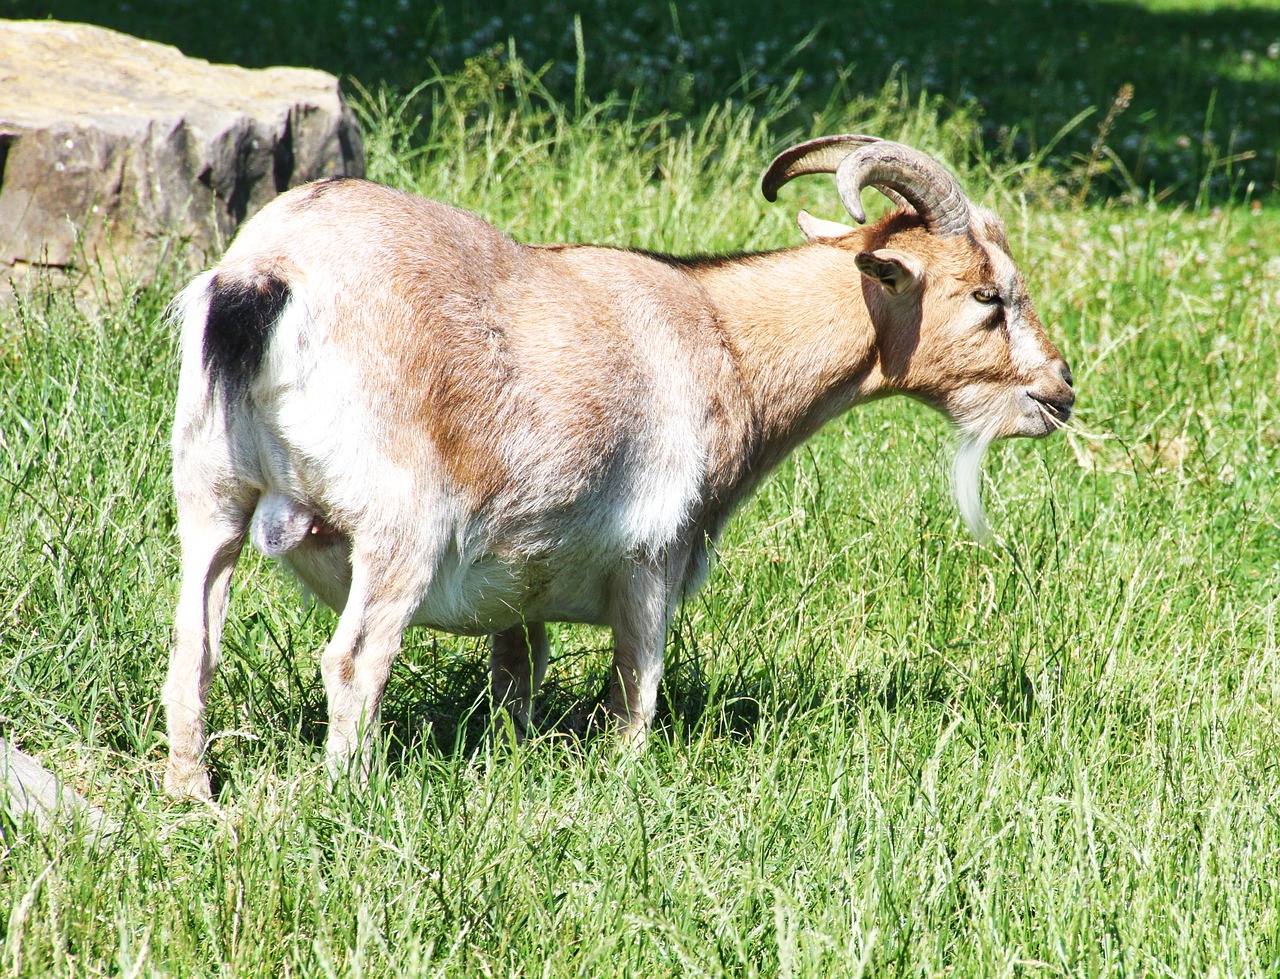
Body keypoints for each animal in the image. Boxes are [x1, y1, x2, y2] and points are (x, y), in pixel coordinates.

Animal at [165, 135, 1075, 793]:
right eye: (987, 295)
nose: (1060, 390)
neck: (727, 338)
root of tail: (266, 276)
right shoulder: (654, 553)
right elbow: (636, 688)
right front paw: (622, 778)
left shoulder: (517, 578)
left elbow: (516, 675)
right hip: (402, 527)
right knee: (353, 659)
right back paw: (351, 797)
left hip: (211, 488)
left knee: (194, 642)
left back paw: (193, 793)